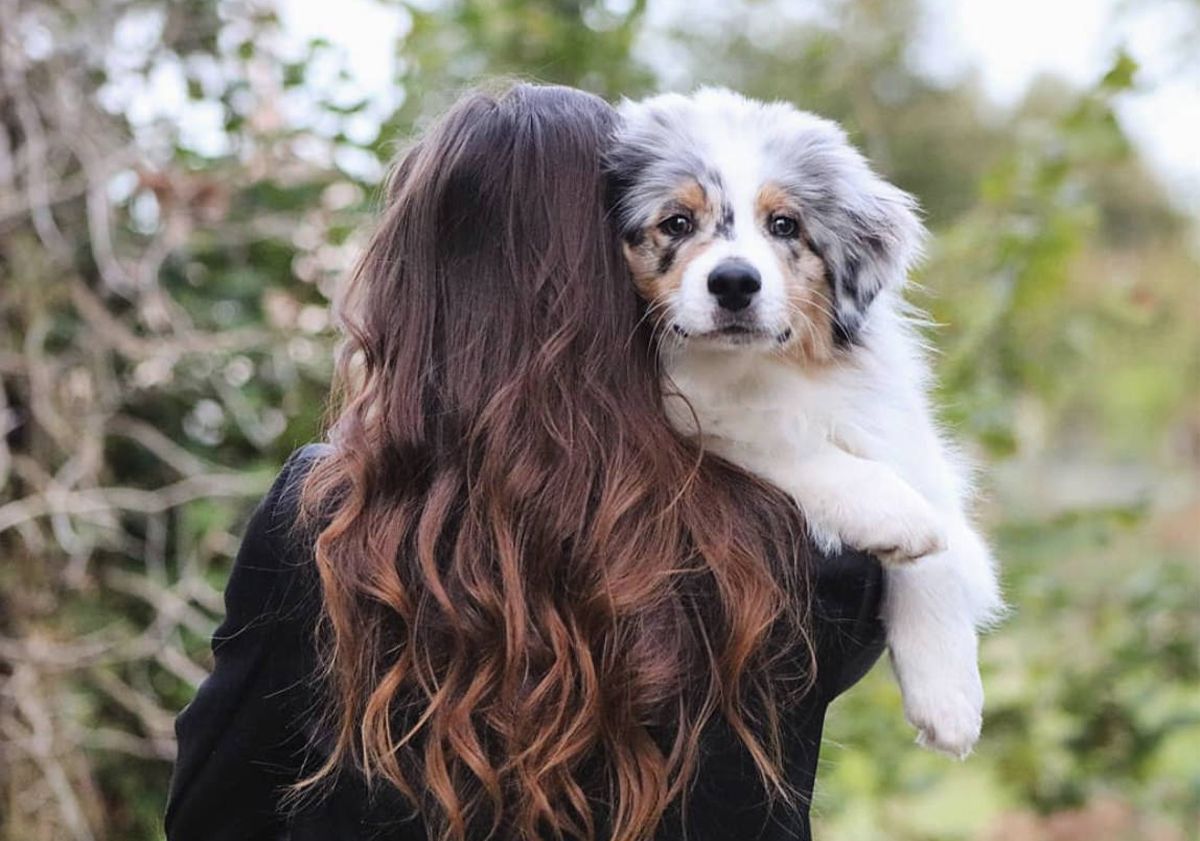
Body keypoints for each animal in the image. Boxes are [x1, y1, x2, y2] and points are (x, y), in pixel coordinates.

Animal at [609, 88, 1003, 758]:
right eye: (677, 223)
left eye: (784, 225)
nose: (734, 282)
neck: (756, 367)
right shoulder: (691, 412)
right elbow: (774, 436)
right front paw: (893, 514)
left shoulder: (894, 424)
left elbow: (942, 539)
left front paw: (949, 700)